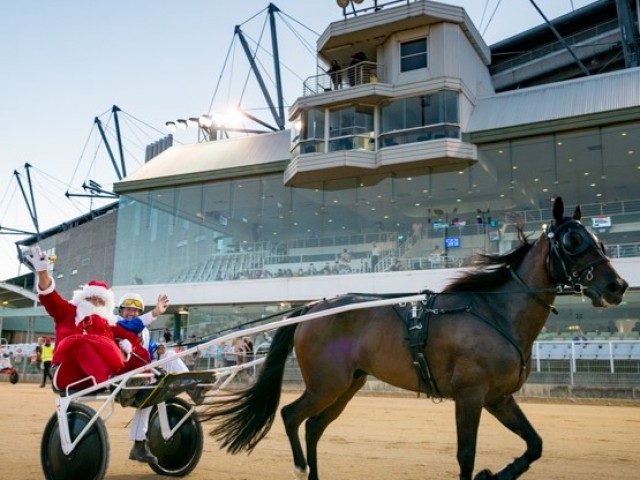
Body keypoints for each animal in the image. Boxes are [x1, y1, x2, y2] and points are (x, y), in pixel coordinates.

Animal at [204, 197, 624, 478]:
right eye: (572, 241)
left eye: (599, 239)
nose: (617, 286)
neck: (494, 312)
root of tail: (312, 309)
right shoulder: (470, 396)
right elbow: (466, 455)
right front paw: (484, 471)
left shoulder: (499, 398)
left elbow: (534, 445)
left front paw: (499, 473)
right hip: (327, 383)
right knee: (292, 416)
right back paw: (301, 468)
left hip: (348, 385)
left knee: (313, 427)